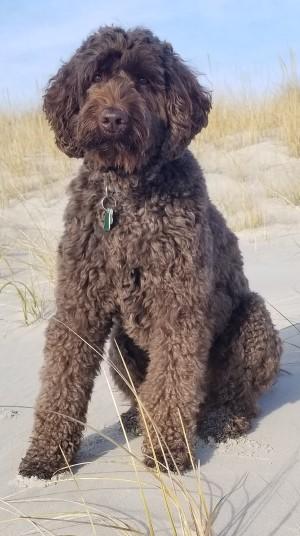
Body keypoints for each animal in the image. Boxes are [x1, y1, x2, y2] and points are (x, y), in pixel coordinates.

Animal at [18, 26, 282, 478]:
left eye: (143, 81)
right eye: (96, 76)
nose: (112, 119)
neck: (125, 195)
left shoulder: (178, 308)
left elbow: (172, 385)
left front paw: (168, 451)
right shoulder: (78, 305)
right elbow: (61, 381)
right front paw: (47, 455)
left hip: (254, 322)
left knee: (236, 394)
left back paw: (224, 418)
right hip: (119, 349)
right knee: (144, 394)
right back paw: (135, 419)